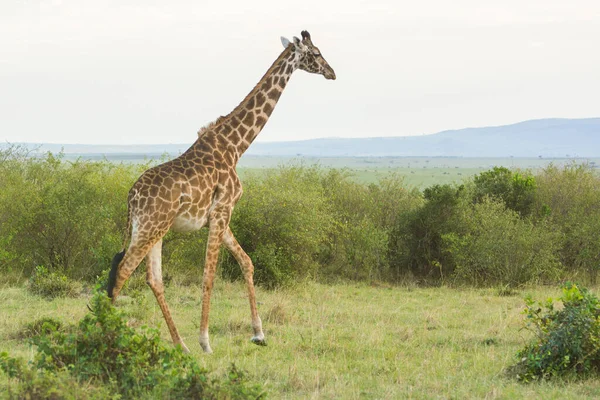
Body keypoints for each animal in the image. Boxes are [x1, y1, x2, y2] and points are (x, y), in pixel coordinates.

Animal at [106, 30, 336, 354]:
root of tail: (131, 197)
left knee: (153, 279)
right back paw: (106, 334)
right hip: (151, 227)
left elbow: (246, 262)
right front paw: (205, 341)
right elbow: (209, 275)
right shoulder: (221, 212)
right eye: (315, 53)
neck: (235, 146)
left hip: (153, 229)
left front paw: (258, 333)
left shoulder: (221, 216)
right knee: (124, 270)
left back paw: (180, 344)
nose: (332, 72)